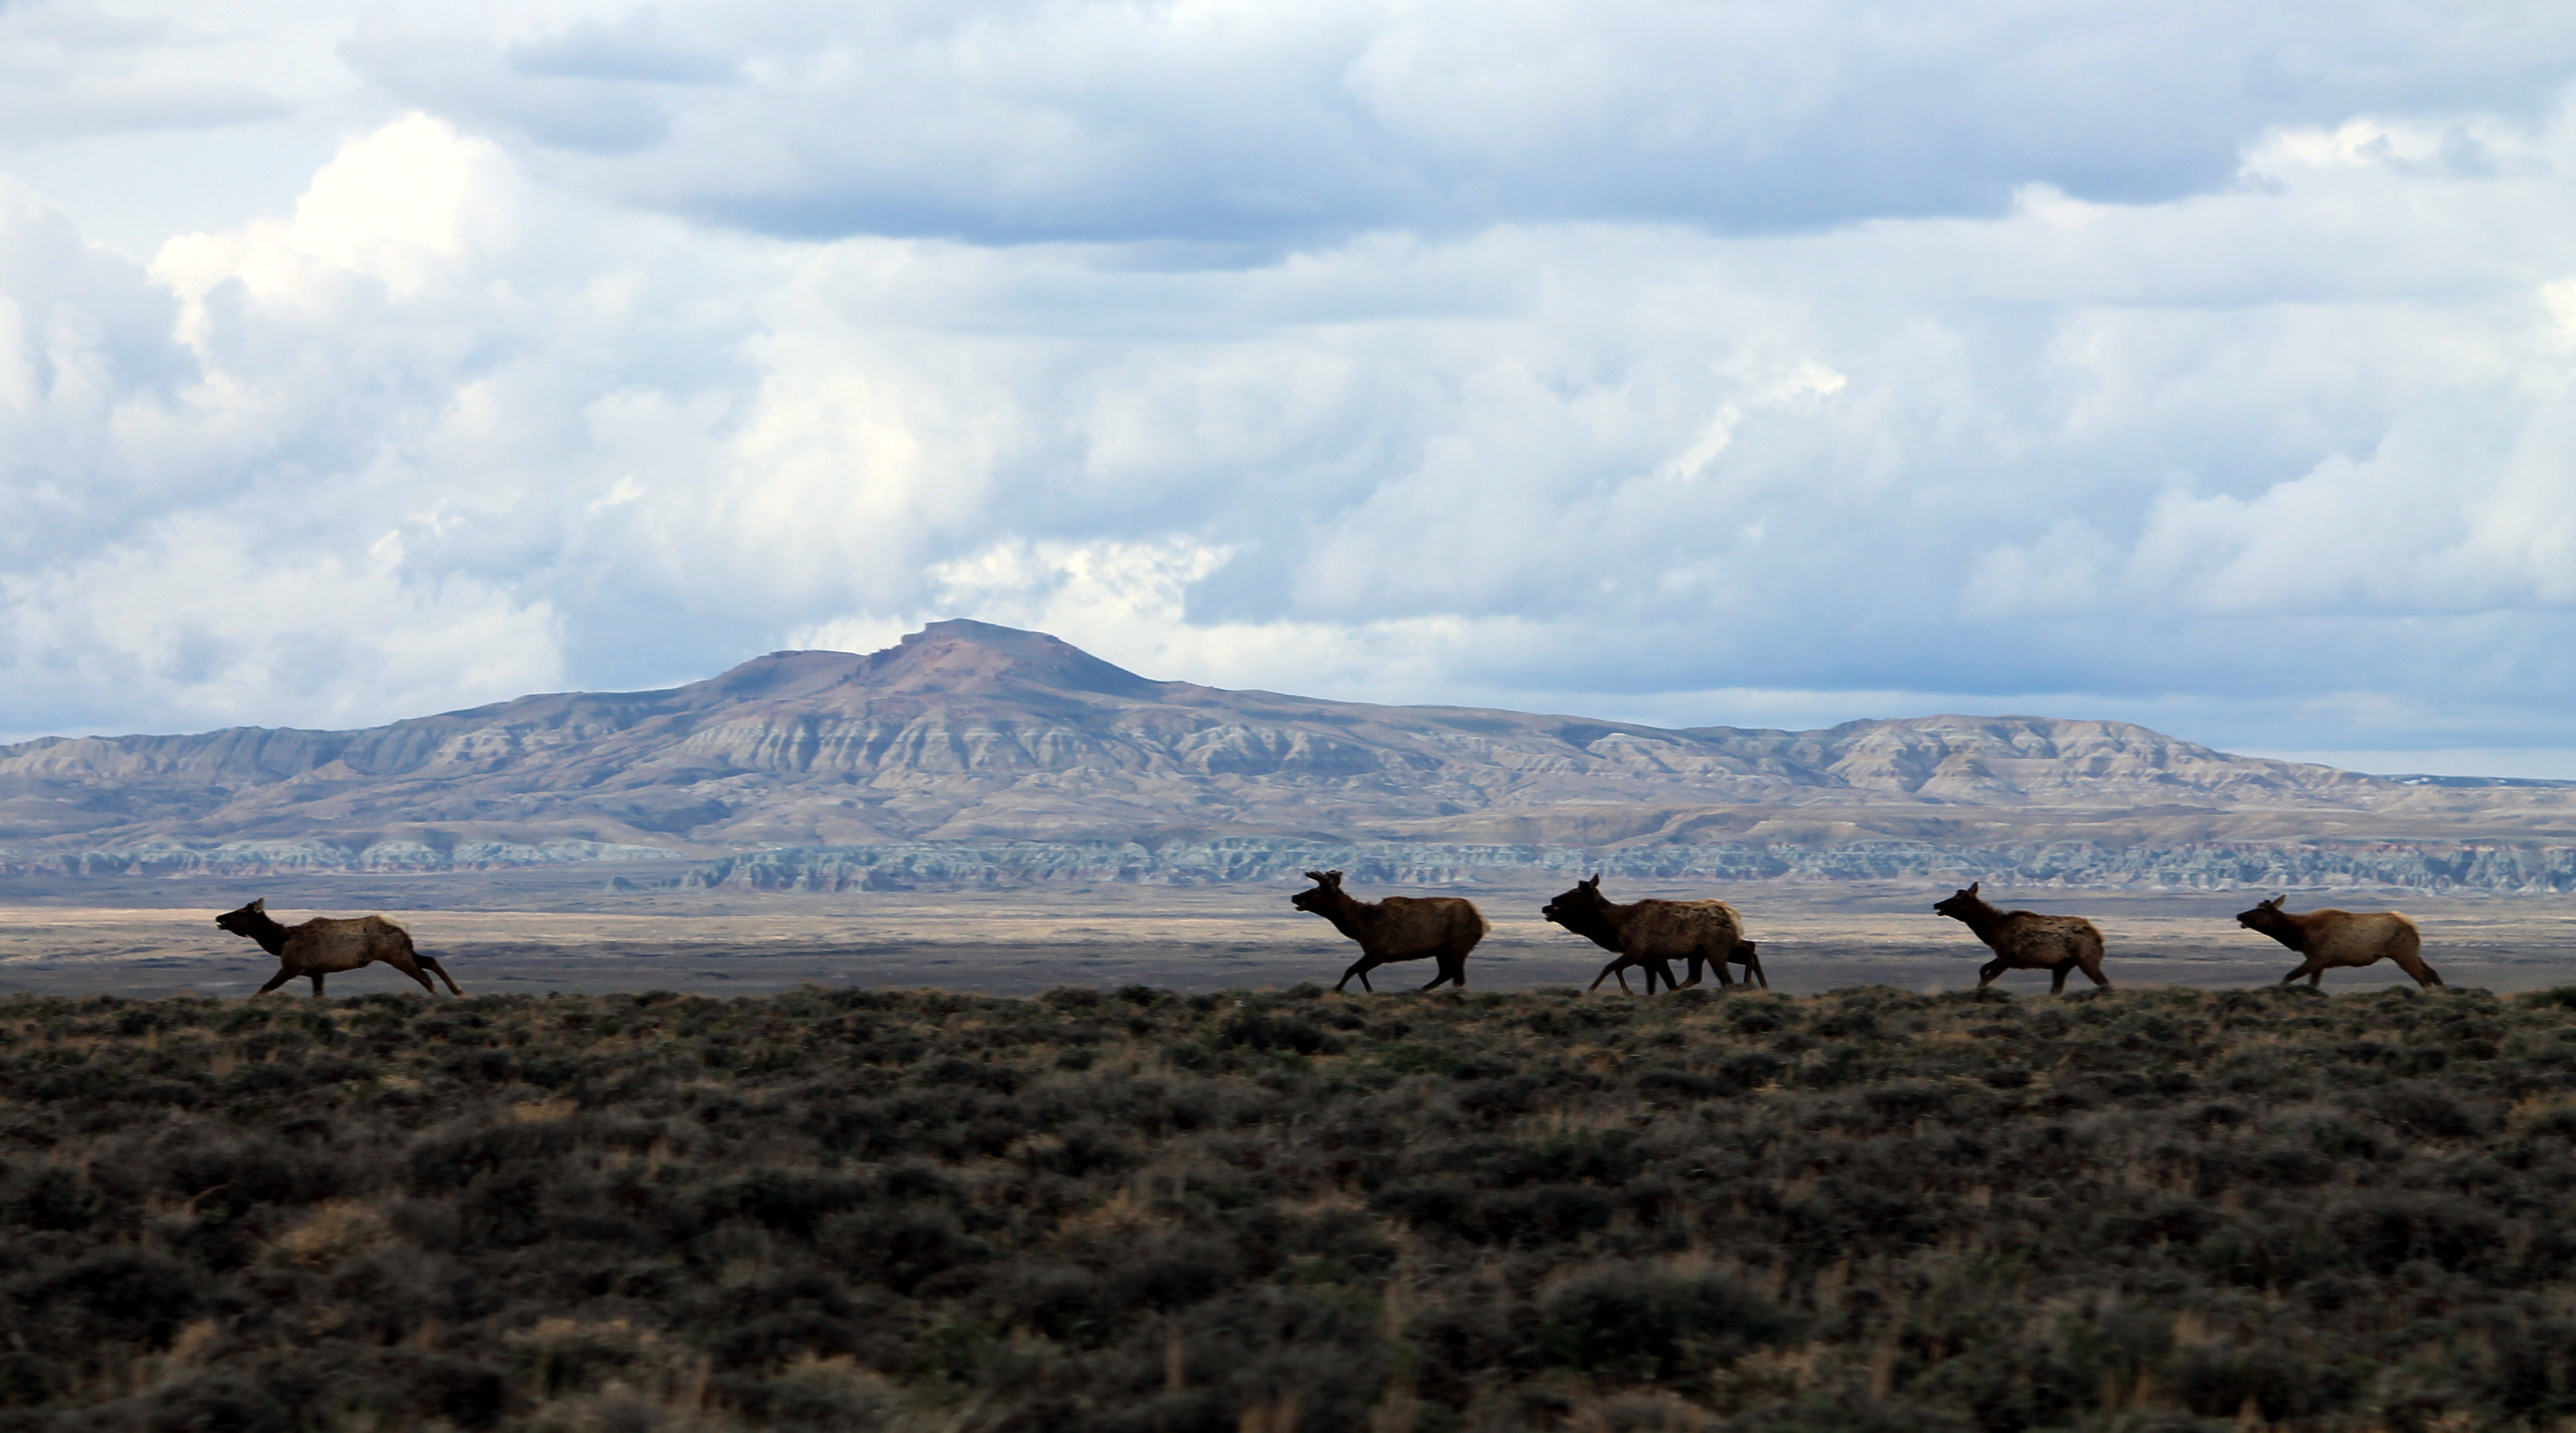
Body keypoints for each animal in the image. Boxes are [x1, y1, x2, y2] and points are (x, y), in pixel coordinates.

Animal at [212, 897, 463, 995]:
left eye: (242, 912)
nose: (219, 917)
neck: (280, 942)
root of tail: (403, 925)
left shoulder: (292, 967)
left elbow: (263, 990)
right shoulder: (317, 973)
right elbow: (318, 997)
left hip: (396, 955)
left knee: (424, 976)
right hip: (404, 951)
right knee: (431, 961)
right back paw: (458, 992)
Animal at [1288, 865, 1494, 989]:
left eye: (1317, 891)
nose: (1294, 897)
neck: (1359, 926)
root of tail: (1482, 922)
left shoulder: (1378, 952)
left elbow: (1352, 971)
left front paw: (1337, 991)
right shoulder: (1373, 954)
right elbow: (1358, 971)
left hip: (1458, 945)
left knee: (1457, 977)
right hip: (1442, 950)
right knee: (1446, 974)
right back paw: (1419, 991)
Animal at [1535, 876, 1762, 989]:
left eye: (1575, 893)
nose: (1549, 904)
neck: (1615, 928)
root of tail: (1733, 915)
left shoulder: (1638, 952)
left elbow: (1609, 968)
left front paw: (1595, 993)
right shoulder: (1651, 961)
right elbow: (1655, 987)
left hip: (1715, 950)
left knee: (1727, 979)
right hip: (1703, 953)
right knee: (1746, 950)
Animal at [1937, 876, 2112, 989]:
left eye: (1957, 900)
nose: (1936, 904)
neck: (1993, 933)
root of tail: (2099, 938)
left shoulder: (2006, 958)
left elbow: (1984, 981)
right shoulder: (2003, 956)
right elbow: (1983, 969)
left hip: (2087, 959)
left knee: (2105, 984)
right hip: (2062, 966)